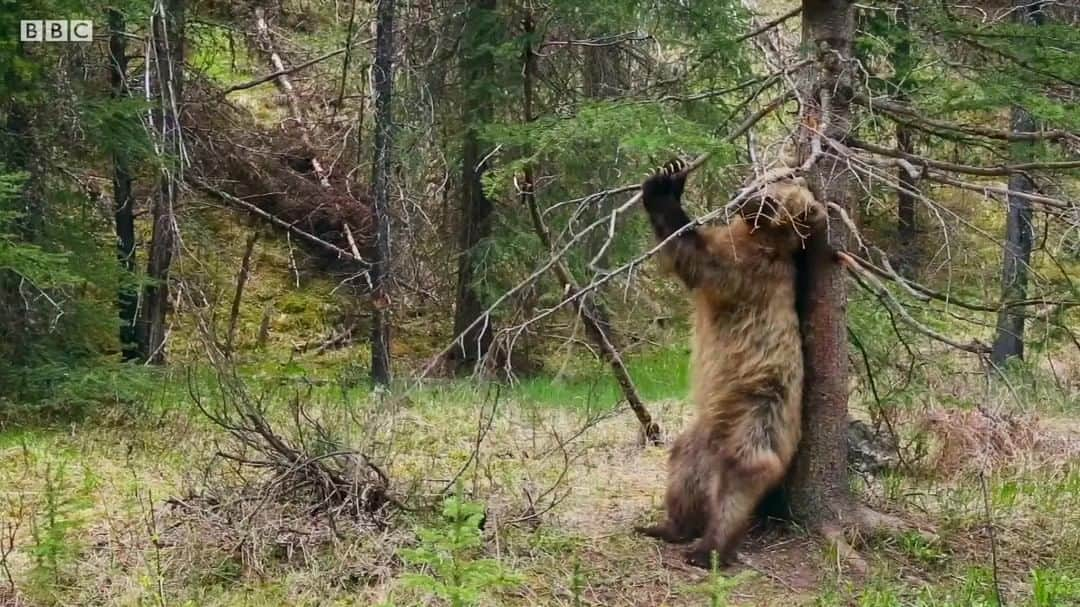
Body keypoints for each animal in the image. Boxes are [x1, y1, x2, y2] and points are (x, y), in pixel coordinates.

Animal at [635, 158, 820, 565]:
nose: (748, 198)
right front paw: (671, 171)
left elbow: (695, 256)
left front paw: (664, 188)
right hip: (701, 435)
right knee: (683, 468)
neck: (761, 237)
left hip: (758, 416)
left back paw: (708, 549)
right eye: (772, 177)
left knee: (738, 484)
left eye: (779, 194)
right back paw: (666, 527)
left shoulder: (745, 271)